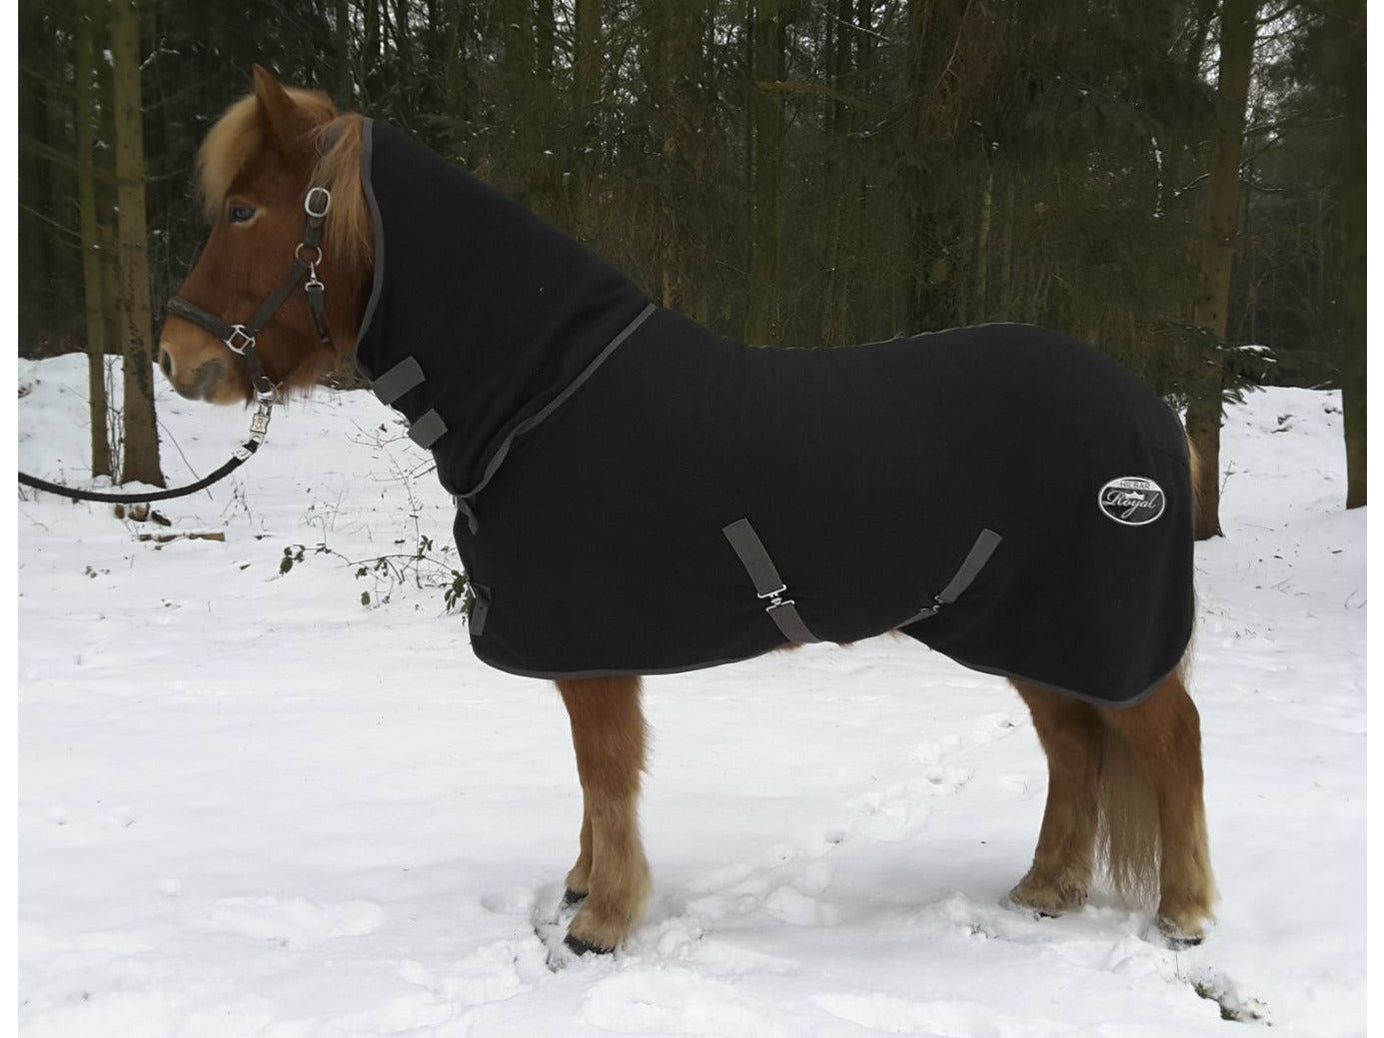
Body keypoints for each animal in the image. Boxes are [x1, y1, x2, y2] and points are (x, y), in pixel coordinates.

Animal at [161, 67, 1217, 957]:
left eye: (244, 209)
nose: (179, 357)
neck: (543, 390)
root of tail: (1151, 417)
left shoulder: (592, 642)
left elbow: (606, 770)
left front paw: (602, 922)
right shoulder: (586, 646)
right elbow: (591, 775)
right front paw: (583, 887)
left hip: (1096, 633)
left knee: (1170, 741)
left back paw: (1184, 914)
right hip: (1030, 632)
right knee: (1075, 748)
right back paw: (1045, 890)